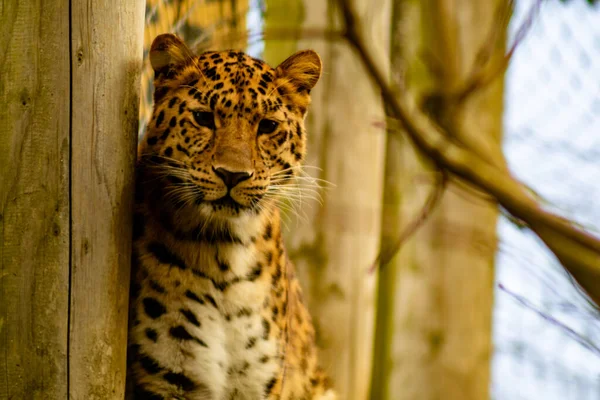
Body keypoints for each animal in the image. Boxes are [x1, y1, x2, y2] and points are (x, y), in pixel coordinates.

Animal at [126, 32, 336, 400]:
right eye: (203, 118)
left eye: (267, 126)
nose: (232, 174)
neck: (223, 253)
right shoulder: (165, 379)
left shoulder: (261, 384)